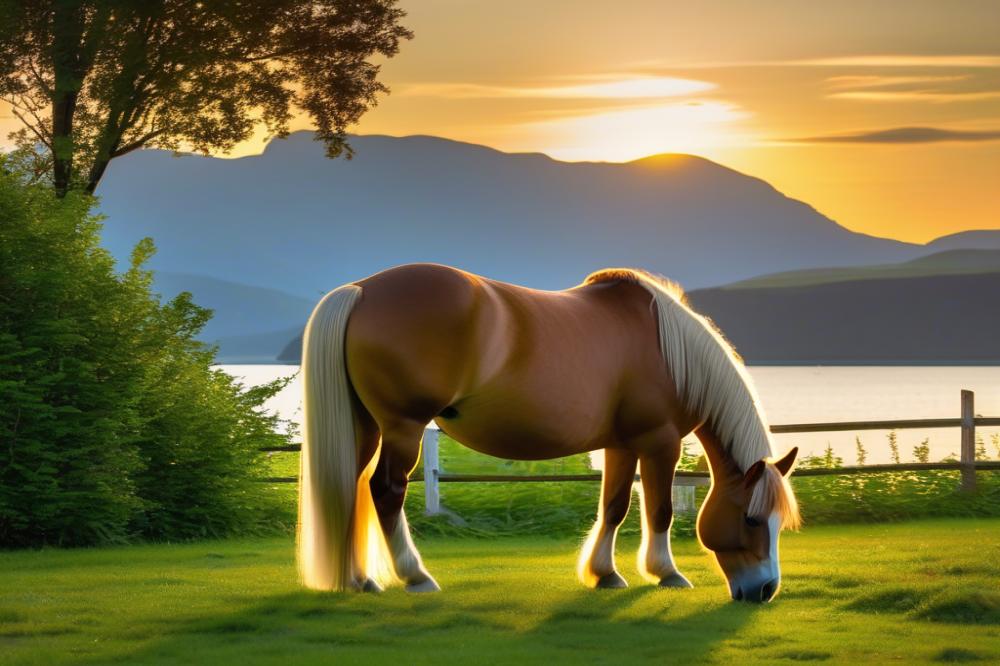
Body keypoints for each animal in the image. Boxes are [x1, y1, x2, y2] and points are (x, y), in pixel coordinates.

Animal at [297, 263, 800, 602]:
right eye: (752, 519)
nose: (765, 590)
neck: (668, 348)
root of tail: (362, 291)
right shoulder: (660, 442)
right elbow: (659, 511)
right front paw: (666, 573)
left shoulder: (620, 445)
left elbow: (614, 507)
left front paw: (605, 574)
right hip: (403, 427)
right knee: (385, 491)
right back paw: (415, 577)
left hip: (366, 426)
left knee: (350, 487)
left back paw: (360, 579)